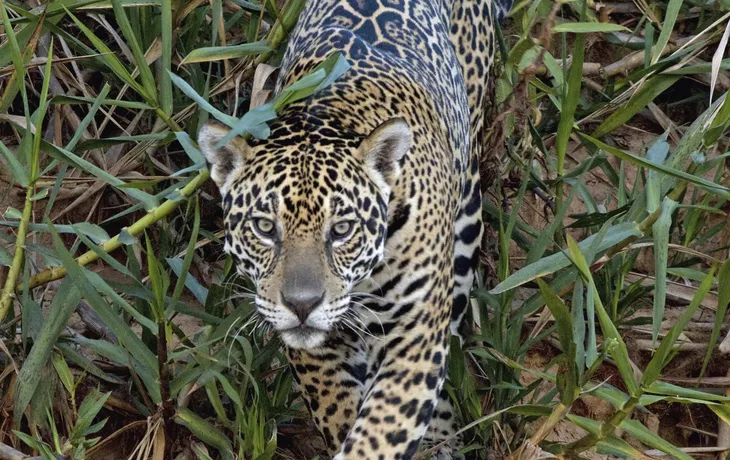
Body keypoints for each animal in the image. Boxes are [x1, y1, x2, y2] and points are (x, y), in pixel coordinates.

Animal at [198, 0, 513, 458]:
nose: (302, 305)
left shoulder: (414, 335)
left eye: (343, 229)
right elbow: (337, 409)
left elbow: (382, 429)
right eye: (265, 227)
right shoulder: (318, 352)